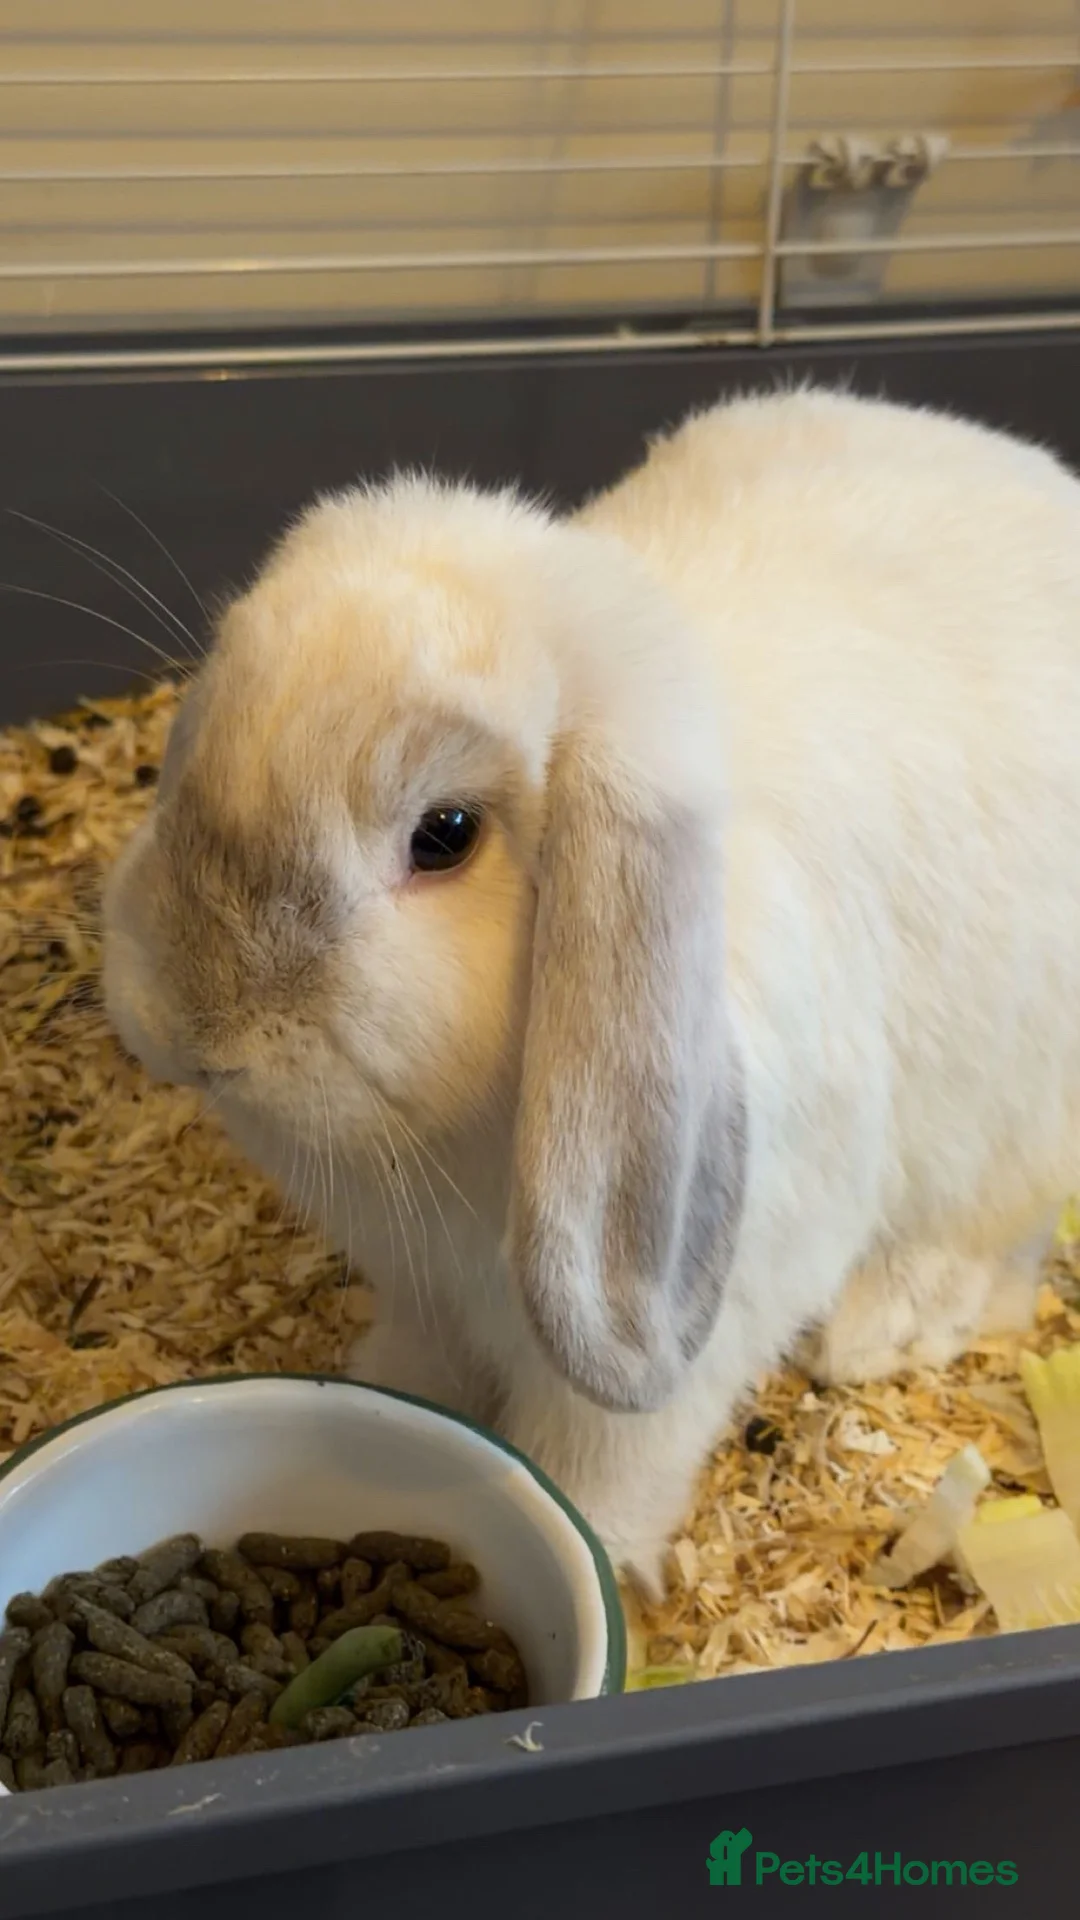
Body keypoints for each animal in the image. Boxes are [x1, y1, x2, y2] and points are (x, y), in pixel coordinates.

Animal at [102, 384, 1080, 1597]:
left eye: (445, 834)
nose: (192, 1029)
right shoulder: (424, 1288)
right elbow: (423, 1366)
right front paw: (382, 1393)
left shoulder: (671, 1345)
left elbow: (601, 1463)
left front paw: (607, 1563)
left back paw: (888, 1325)